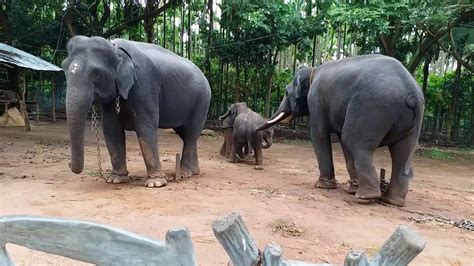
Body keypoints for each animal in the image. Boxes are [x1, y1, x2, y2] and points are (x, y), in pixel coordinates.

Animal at [62, 36, 211, 188]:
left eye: (97, 74)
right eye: (64, 68)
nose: (68, 163)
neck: (115, 48)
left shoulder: (145, 83)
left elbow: (145, 127)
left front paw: (155, 183)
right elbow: (111, 129)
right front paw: (116, 179)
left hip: (202, 101)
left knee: (191, 132)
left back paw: (184, 173)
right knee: (185, 133)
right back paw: (194, 171)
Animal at [258, 55, 424, 207]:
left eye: (286, 93)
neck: (312, 70)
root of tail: (412, 94)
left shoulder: (316, 99)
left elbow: (320, 134)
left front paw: (322, 186)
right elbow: (340, 139)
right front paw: (351, 188)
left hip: (373, 108)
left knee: (353, 140)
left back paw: (366, 197)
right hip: (407, 121)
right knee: (402, 152)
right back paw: (392, 200)